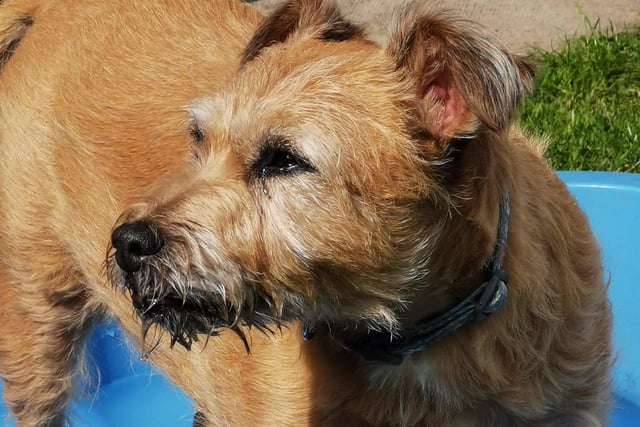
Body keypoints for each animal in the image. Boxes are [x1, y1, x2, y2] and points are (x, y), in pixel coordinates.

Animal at [0, 0, 612, 427]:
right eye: (198, 139)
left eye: (284, 161)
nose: (128, 241)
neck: (415, 342)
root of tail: (58, 8)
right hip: (35, 313)